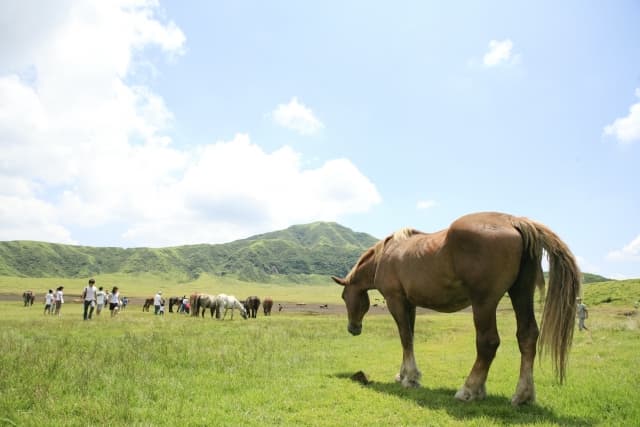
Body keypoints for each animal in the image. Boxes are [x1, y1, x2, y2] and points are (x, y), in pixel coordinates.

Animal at [332, 212, 580, 406]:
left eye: (344, 296)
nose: (353, 328)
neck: (386, 255)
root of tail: (514, 221)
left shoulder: (396, 301)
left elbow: (405, 338)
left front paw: (410, 378)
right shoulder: (409, 303)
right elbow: (409, 338)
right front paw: (404, 375)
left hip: (484, 302)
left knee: (488, 343)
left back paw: (469, 390)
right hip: (520, 293)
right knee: (527, 336)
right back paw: (523, 395)